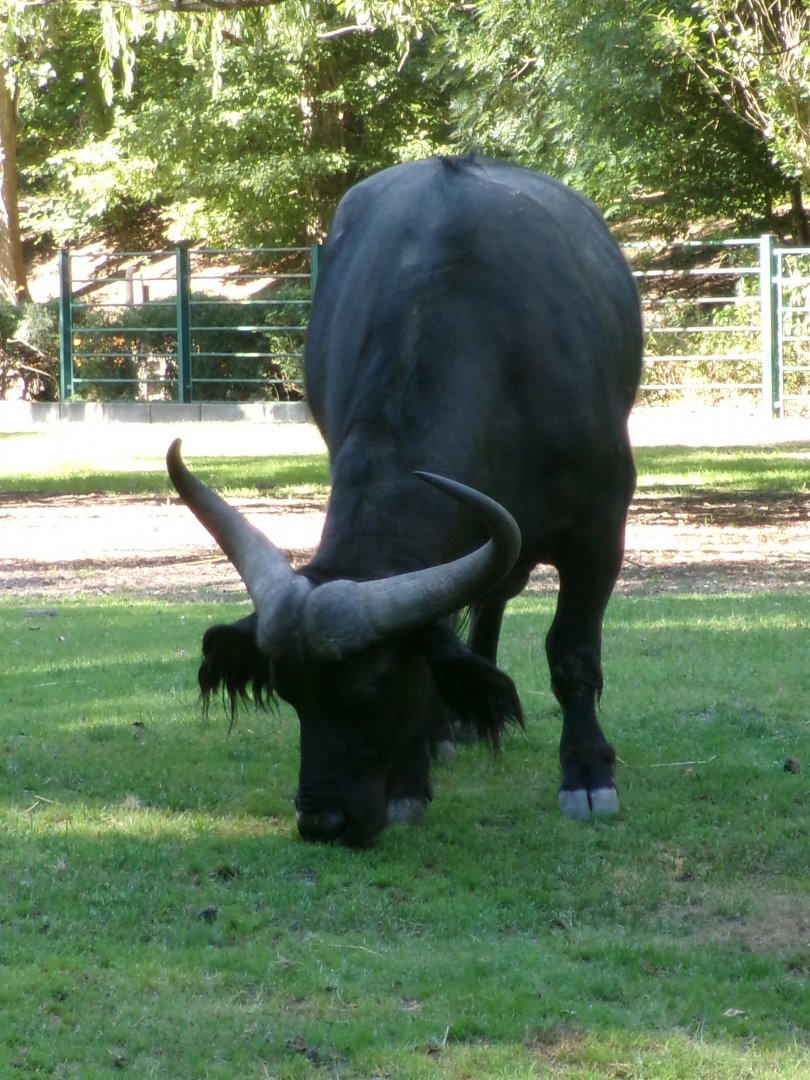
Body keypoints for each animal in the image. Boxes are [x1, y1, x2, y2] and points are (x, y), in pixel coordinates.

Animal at [167, 154, 643, 846]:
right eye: (289, 693)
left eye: (373, 688)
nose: (323, 820)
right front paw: (412, 780)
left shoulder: (600, 528)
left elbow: (572, 654)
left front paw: (586, 775)